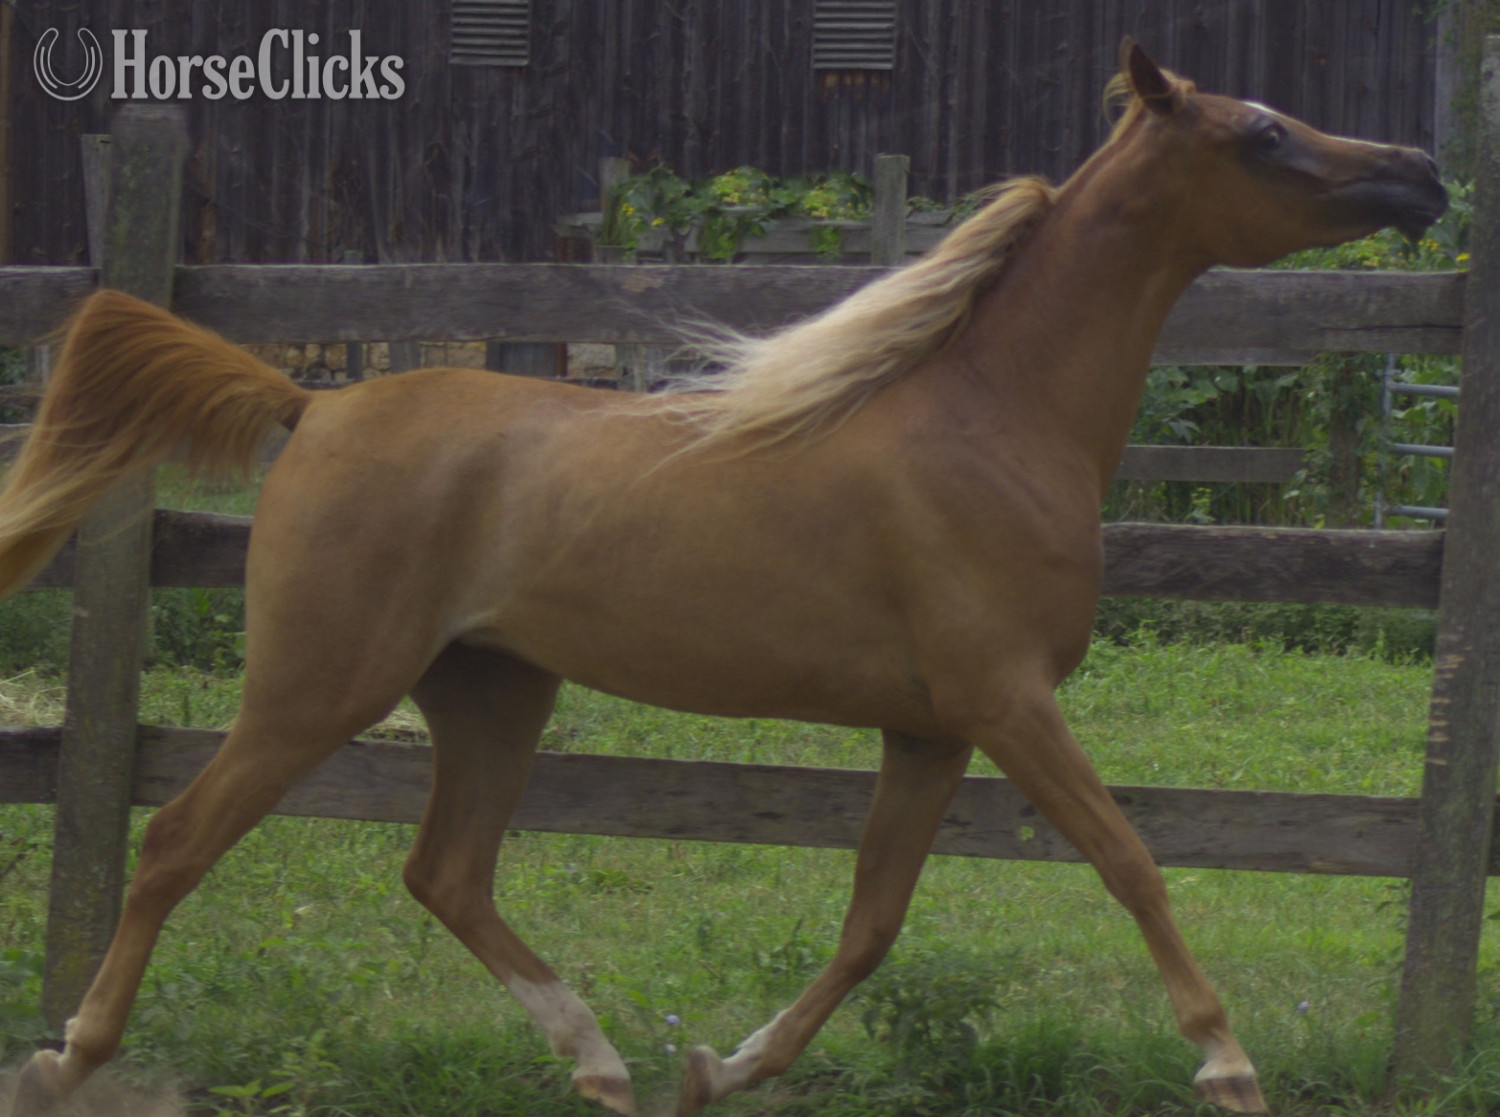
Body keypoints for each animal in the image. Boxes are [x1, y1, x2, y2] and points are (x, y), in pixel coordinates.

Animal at [1, 41, 1446, 1117]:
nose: (1423, 173)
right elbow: (1130, 858)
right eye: (1262, 132)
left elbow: (872, 923)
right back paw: (69, 1055)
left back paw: (602, 1062)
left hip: (492, 689)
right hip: (322, 680)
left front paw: (725, 1064)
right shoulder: (1008, 701)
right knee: (180, 841)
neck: (991, 420)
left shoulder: (931, 729)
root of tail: (309, 403)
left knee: (447, 872)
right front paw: (1228, 1063)